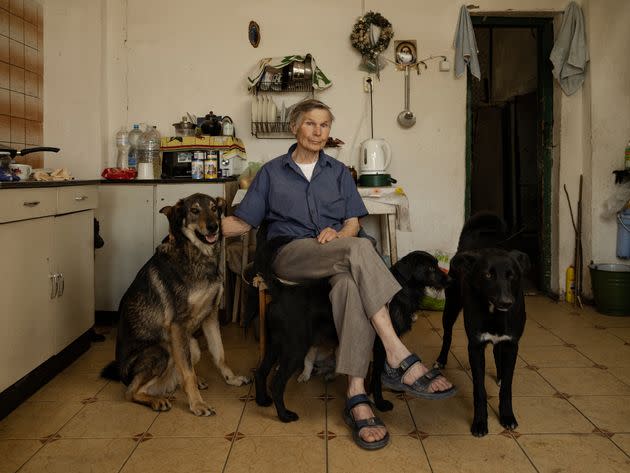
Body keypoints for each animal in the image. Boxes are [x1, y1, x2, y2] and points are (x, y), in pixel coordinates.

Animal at [102, 192, 251, 412]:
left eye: (214, 208)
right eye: (195, 210)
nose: (214, 226)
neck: (198, 255)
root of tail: (121, 373)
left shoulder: (211, 316)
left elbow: (219, 354)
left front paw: (231, 379)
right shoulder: (178, 324)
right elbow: (187, 372)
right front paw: (197, 404)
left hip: (192, 346)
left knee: (178, 374)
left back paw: (193, 383)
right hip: (163, 350)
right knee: (131, 392)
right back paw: (157, 400)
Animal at [436, 213, 532, 436]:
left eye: (512, 275)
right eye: (488, 275)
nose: (506, 302)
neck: (494, 312)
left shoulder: (512, 344)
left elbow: (507, 387)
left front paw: (507, 416)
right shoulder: (475, 346)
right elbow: (479, 389)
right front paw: (480, 422)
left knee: (497, 351)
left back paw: (499, 374)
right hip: (451, 308)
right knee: (447, 335)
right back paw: (441, 359)